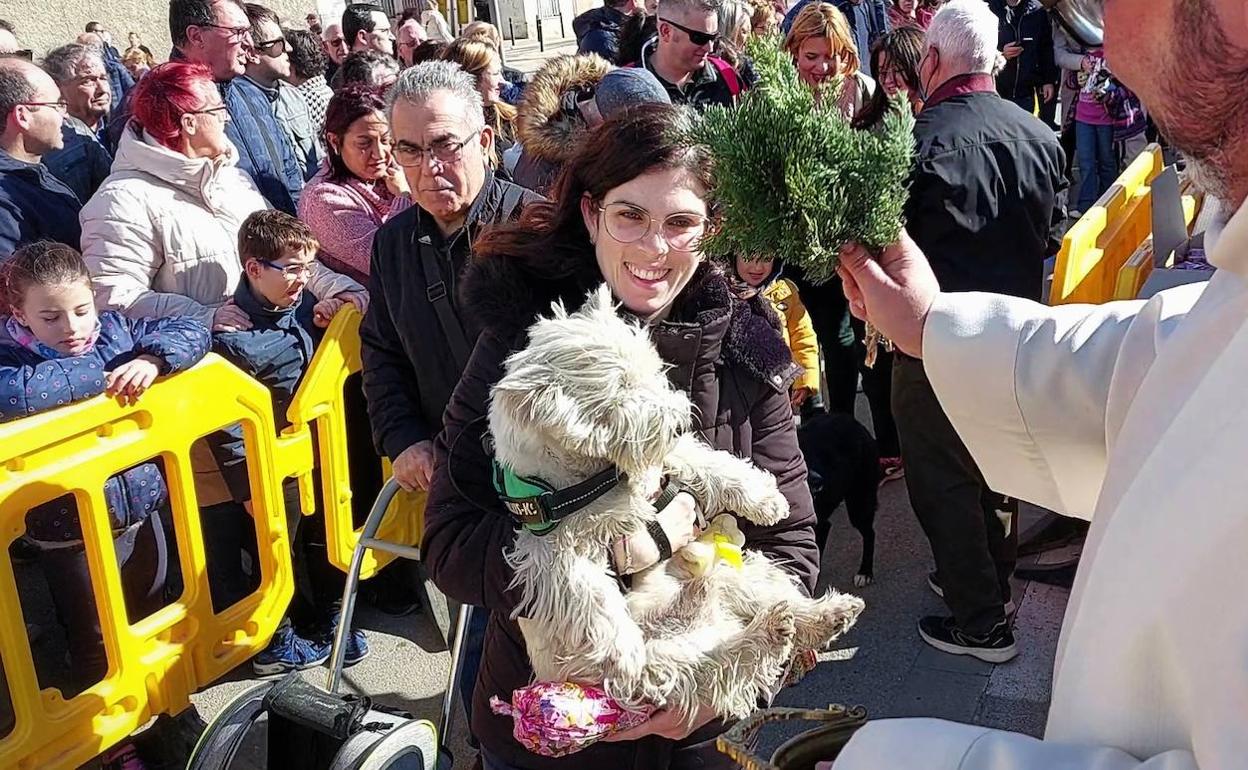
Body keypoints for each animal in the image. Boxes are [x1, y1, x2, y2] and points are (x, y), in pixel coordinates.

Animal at [489, 282, 868, 718]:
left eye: (653, 370)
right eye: (622, 388)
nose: (678, 420)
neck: (599, 476)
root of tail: (712, 618)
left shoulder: (666, 461)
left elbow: (711, 463)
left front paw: (768, 500)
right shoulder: (551, 544)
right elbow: (585, 589)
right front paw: (621, 649)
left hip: (736, 573)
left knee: (770, 609)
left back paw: (826, 614)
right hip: (669, 662)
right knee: (720, 663)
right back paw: (769, 629)